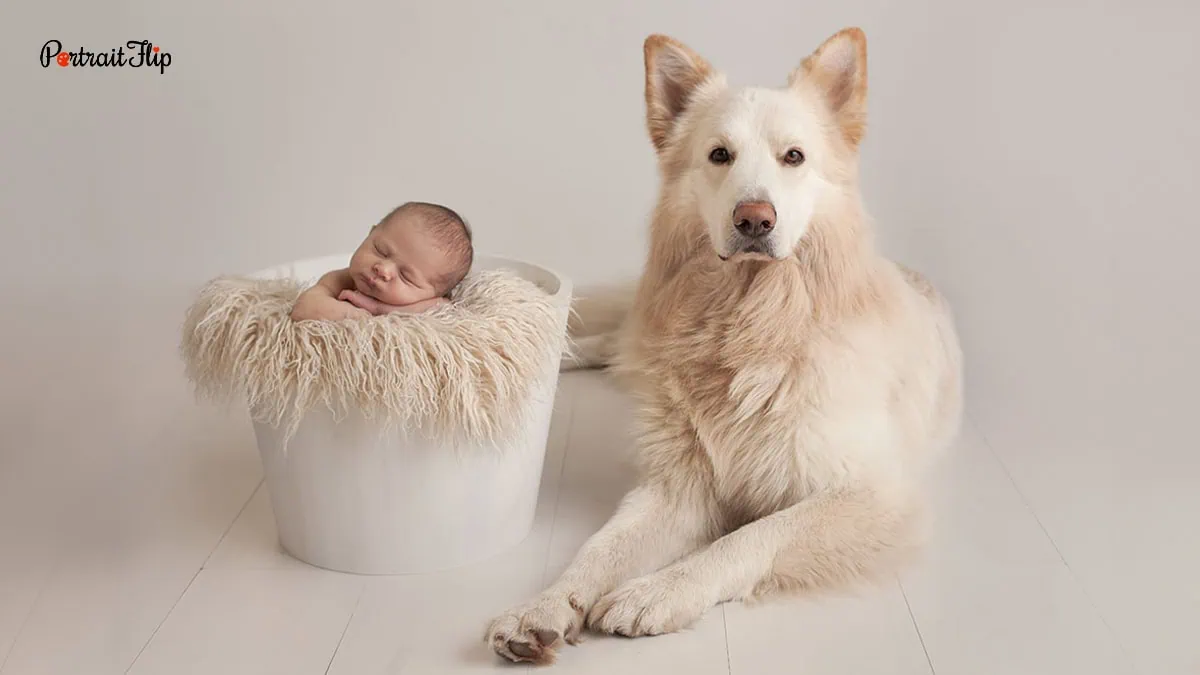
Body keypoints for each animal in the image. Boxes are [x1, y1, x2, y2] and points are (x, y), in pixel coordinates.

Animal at [482, 26, 960, 662]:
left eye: (793, 157)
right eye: (719, 156)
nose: (754, 219)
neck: (751, 327)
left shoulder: (872, 495)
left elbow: (751, 537)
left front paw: (657, 591)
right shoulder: (676, 487)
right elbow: (598, 550)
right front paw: (543, 606)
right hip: (637, 343)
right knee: (612, 341)